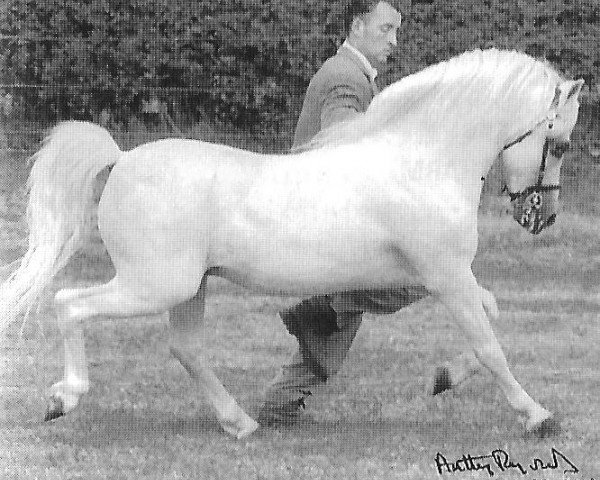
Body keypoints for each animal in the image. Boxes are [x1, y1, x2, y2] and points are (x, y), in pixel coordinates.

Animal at [0, 48, 580, 438]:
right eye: (560, 144)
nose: (543, 216)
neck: (420, 163)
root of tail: (120, 159)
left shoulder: (428, 279)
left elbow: (491, 313)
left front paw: (442, 378)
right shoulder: (445, 277)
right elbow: (490, 345)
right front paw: (539, 418)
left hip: (188, 288)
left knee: (186, 349)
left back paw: (241, 424)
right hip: (156, 286)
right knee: (69, 304)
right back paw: (62, 399)